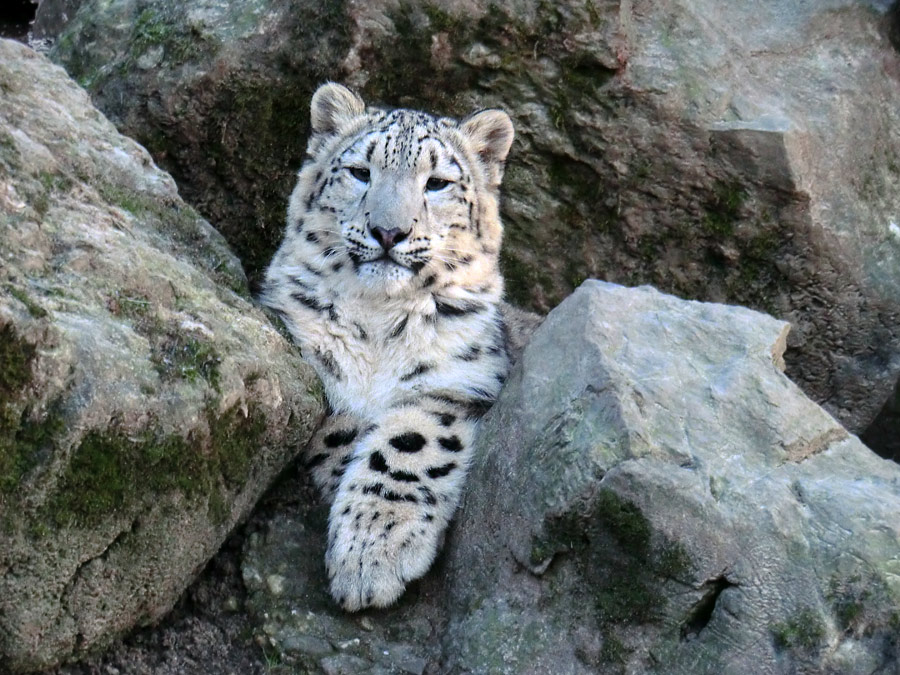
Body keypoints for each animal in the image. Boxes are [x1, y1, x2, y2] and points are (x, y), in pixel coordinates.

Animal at [262, 83, 512, 612]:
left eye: (437, 183)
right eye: (361, 172)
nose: (388, 231)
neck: (379, 322)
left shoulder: (460, 382)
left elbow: (408, 445)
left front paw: (372, 550)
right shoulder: (308, 361)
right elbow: (343, 428)